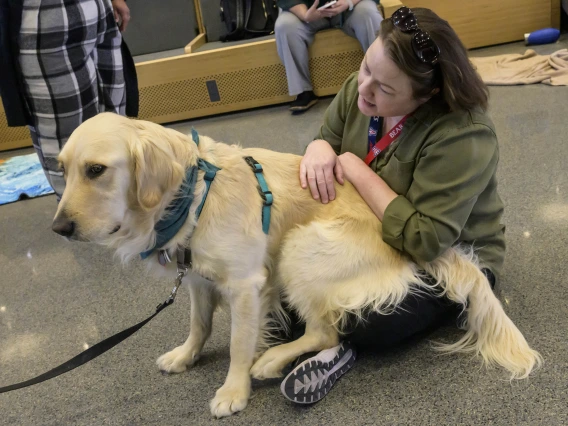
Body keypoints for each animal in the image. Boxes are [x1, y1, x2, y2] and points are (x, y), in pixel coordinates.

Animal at [52, 112, 540, 416]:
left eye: (96, 170)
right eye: (62, 169)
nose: (59, 228)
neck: (194, 192)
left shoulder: (246, 284)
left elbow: (237, 344)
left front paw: (233, 390)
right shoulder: (198, 278)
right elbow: (199, 325)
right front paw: (185, 356)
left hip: (299, 246)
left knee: (327, 331)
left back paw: (272, 362)